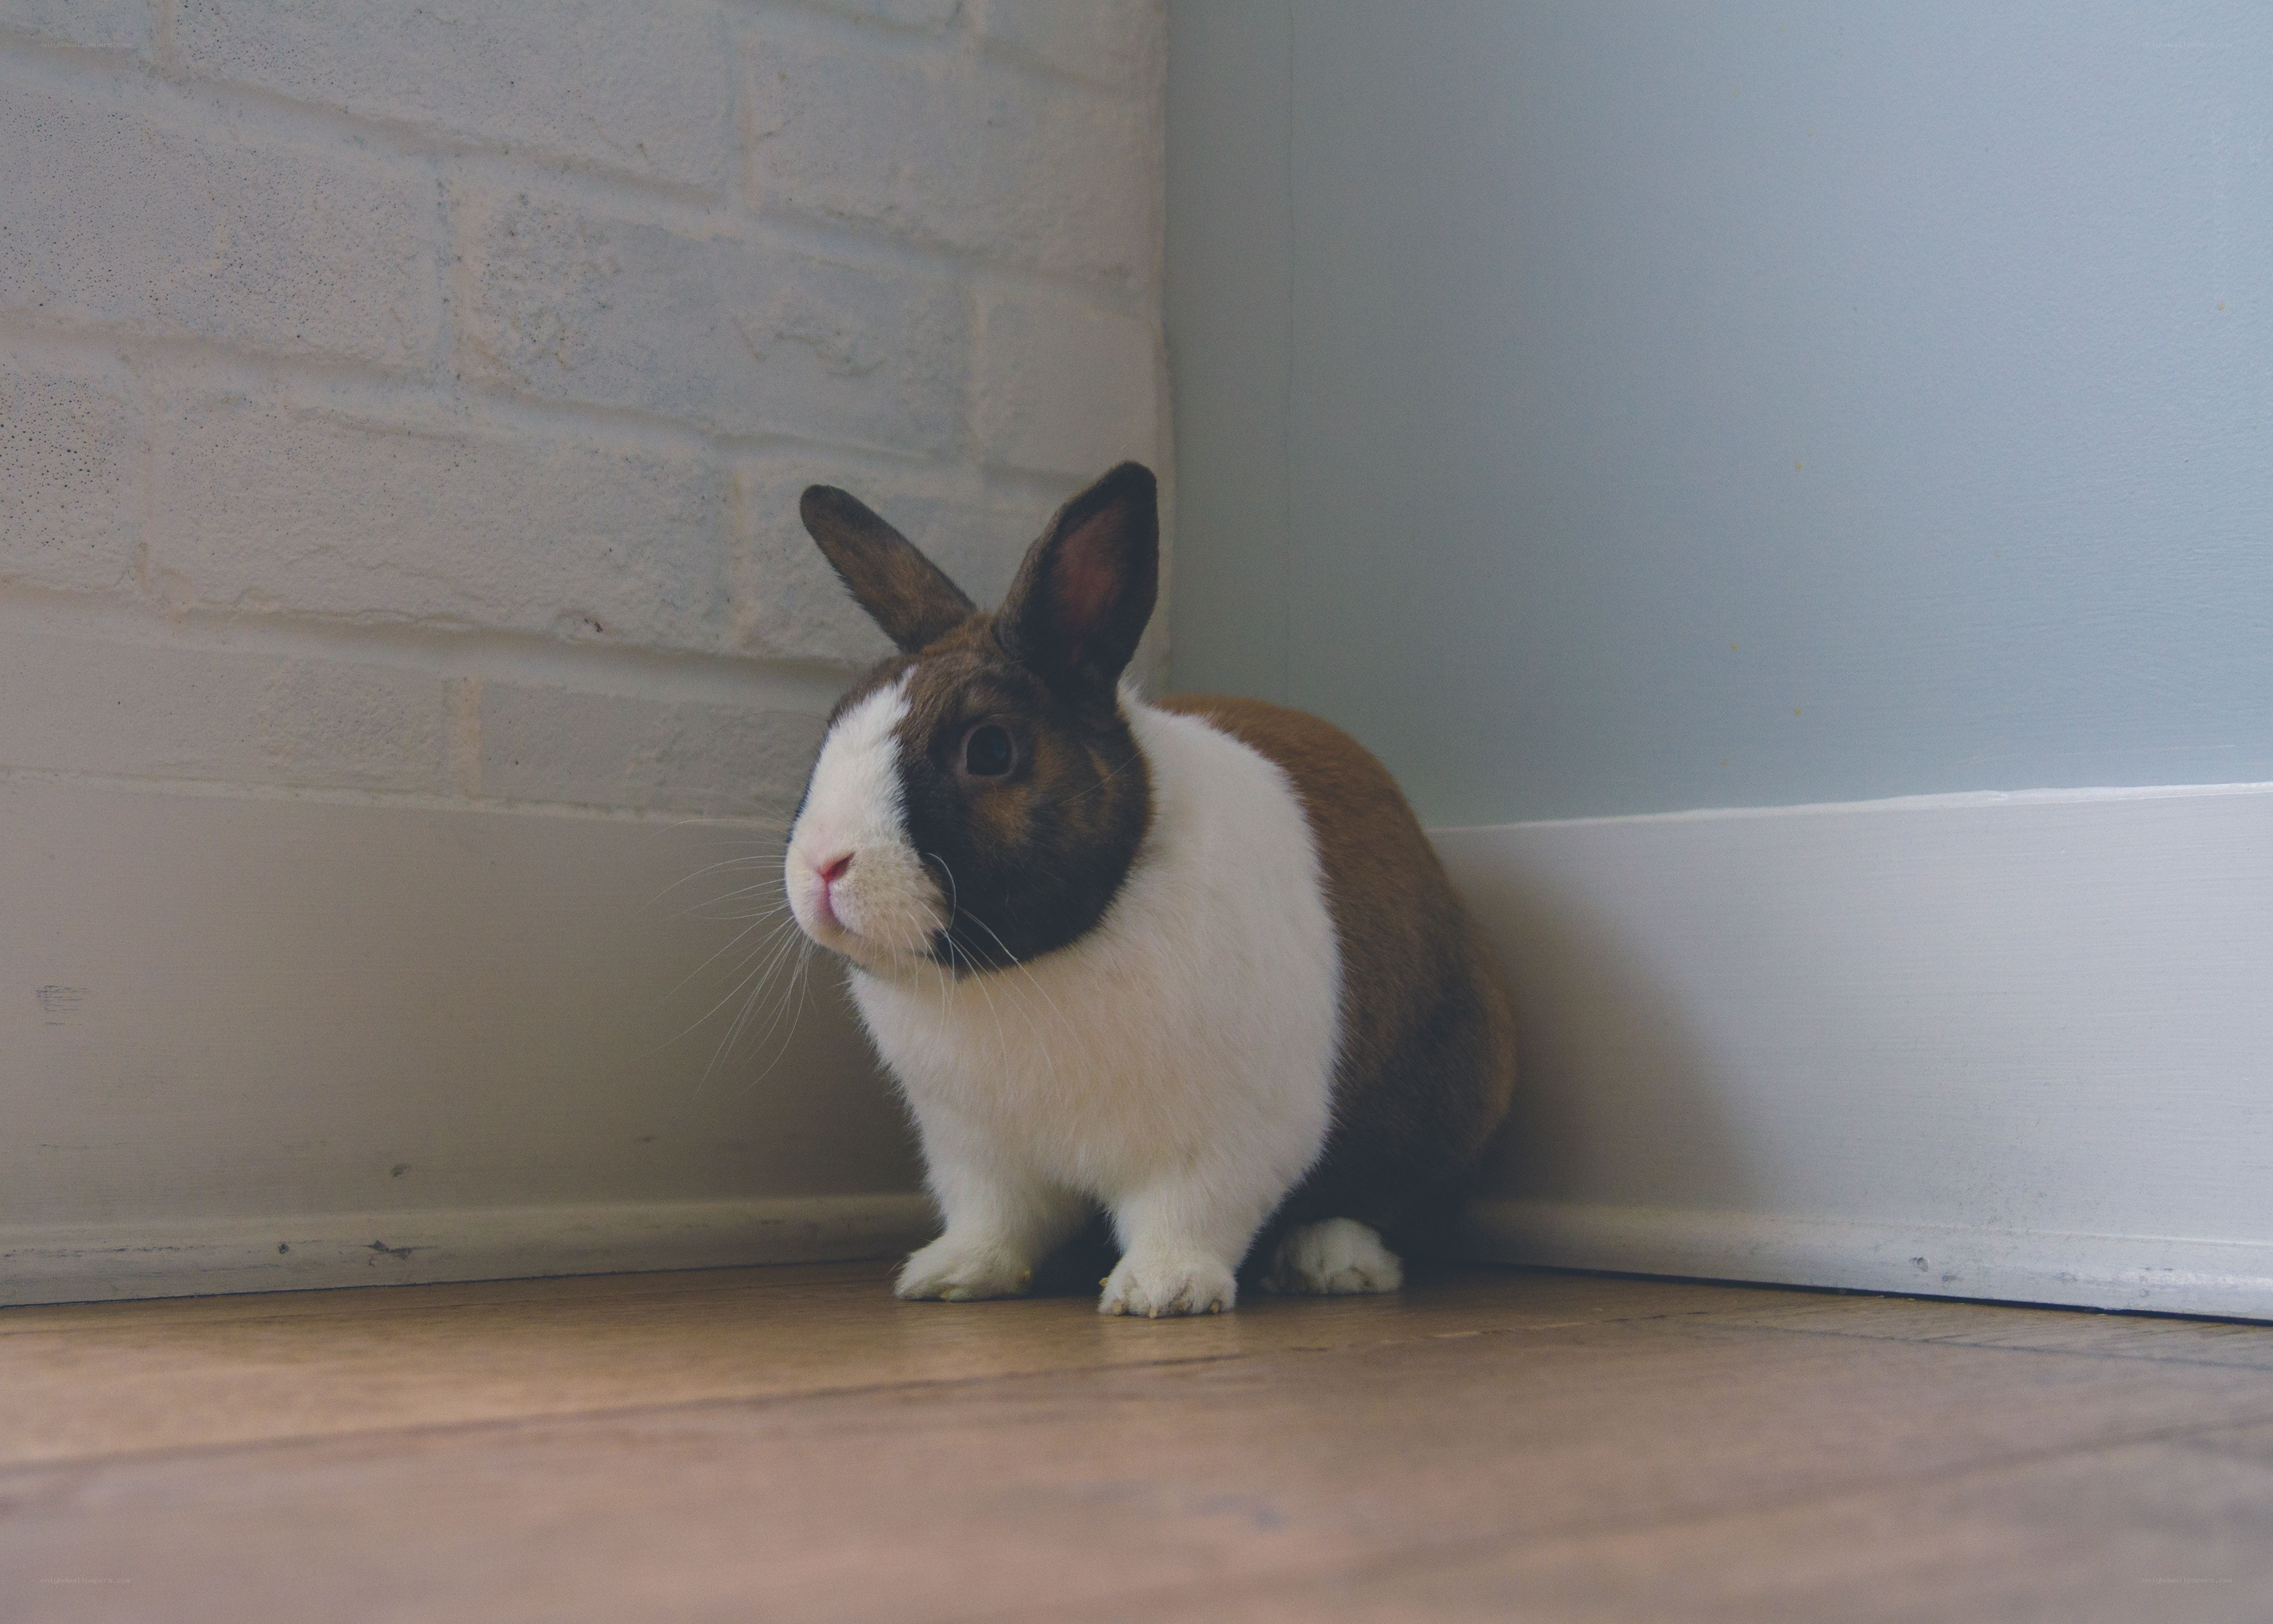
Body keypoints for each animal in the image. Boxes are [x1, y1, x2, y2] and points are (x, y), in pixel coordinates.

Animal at [782, 461, 1517, 1317]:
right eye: (833, 727)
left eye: (990, 750)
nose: (824, 865)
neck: (1025, 968)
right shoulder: (976, 1151)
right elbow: (995, 1220)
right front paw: (950, 1275)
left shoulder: (1227, 1137)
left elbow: (1186, 1213)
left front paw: (1162, 1291)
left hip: (1441, 1114)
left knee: (1389, 1209)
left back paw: (1331, 1263)